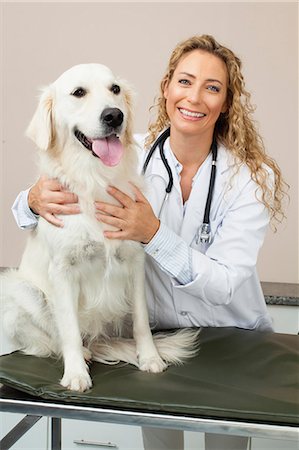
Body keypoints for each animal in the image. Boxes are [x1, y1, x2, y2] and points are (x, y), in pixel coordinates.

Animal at [1, 65, 199, 392]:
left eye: (115, 89)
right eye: (78, 92)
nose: (114, 116)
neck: (95, 179)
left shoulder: (134, 262)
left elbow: (142, 321)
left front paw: (150, 358)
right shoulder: (63, 271)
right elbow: (68, 329)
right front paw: (76, 374)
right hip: (19, 289)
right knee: (45, 341)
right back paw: (81, 354)